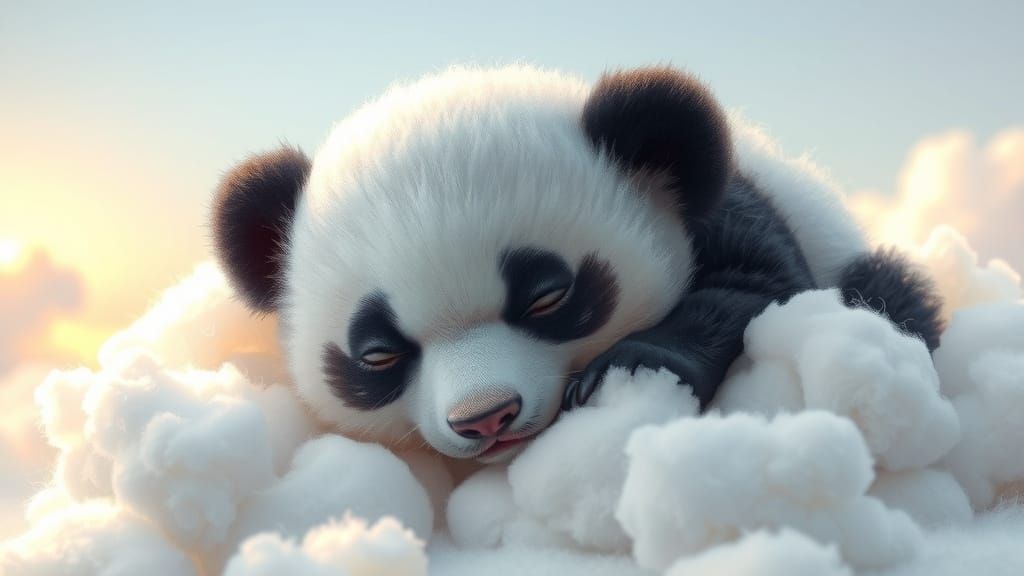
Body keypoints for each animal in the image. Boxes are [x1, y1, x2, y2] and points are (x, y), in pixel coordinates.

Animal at [211, 65, 942, 464]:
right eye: (379, 355)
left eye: (546, 298)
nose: (485, 417)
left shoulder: (729, 207)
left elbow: (756, 286)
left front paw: (632, 366)